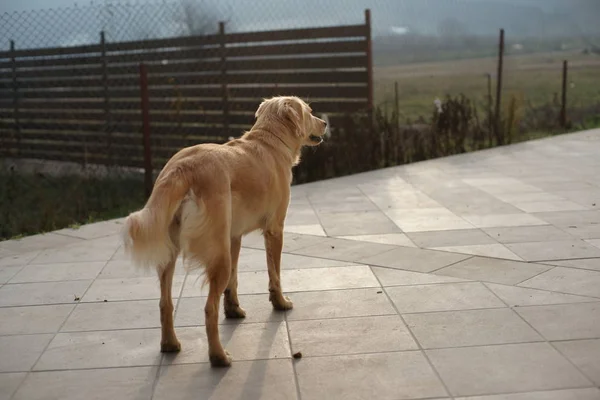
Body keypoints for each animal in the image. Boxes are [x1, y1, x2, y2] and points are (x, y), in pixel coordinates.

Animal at [122, 95, 326, 368]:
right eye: (310, 111)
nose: (325, 123)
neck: (269, 141)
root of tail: (183, 167)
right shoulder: (274, 230)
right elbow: (275, 274)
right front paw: (280, 302)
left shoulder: (233, 237)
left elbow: (234, 281)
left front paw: (234, 310)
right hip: (218, 256)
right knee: (209, 308)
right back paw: (218, 356)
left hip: (172, 253)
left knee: (165, 302)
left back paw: (170, 344)